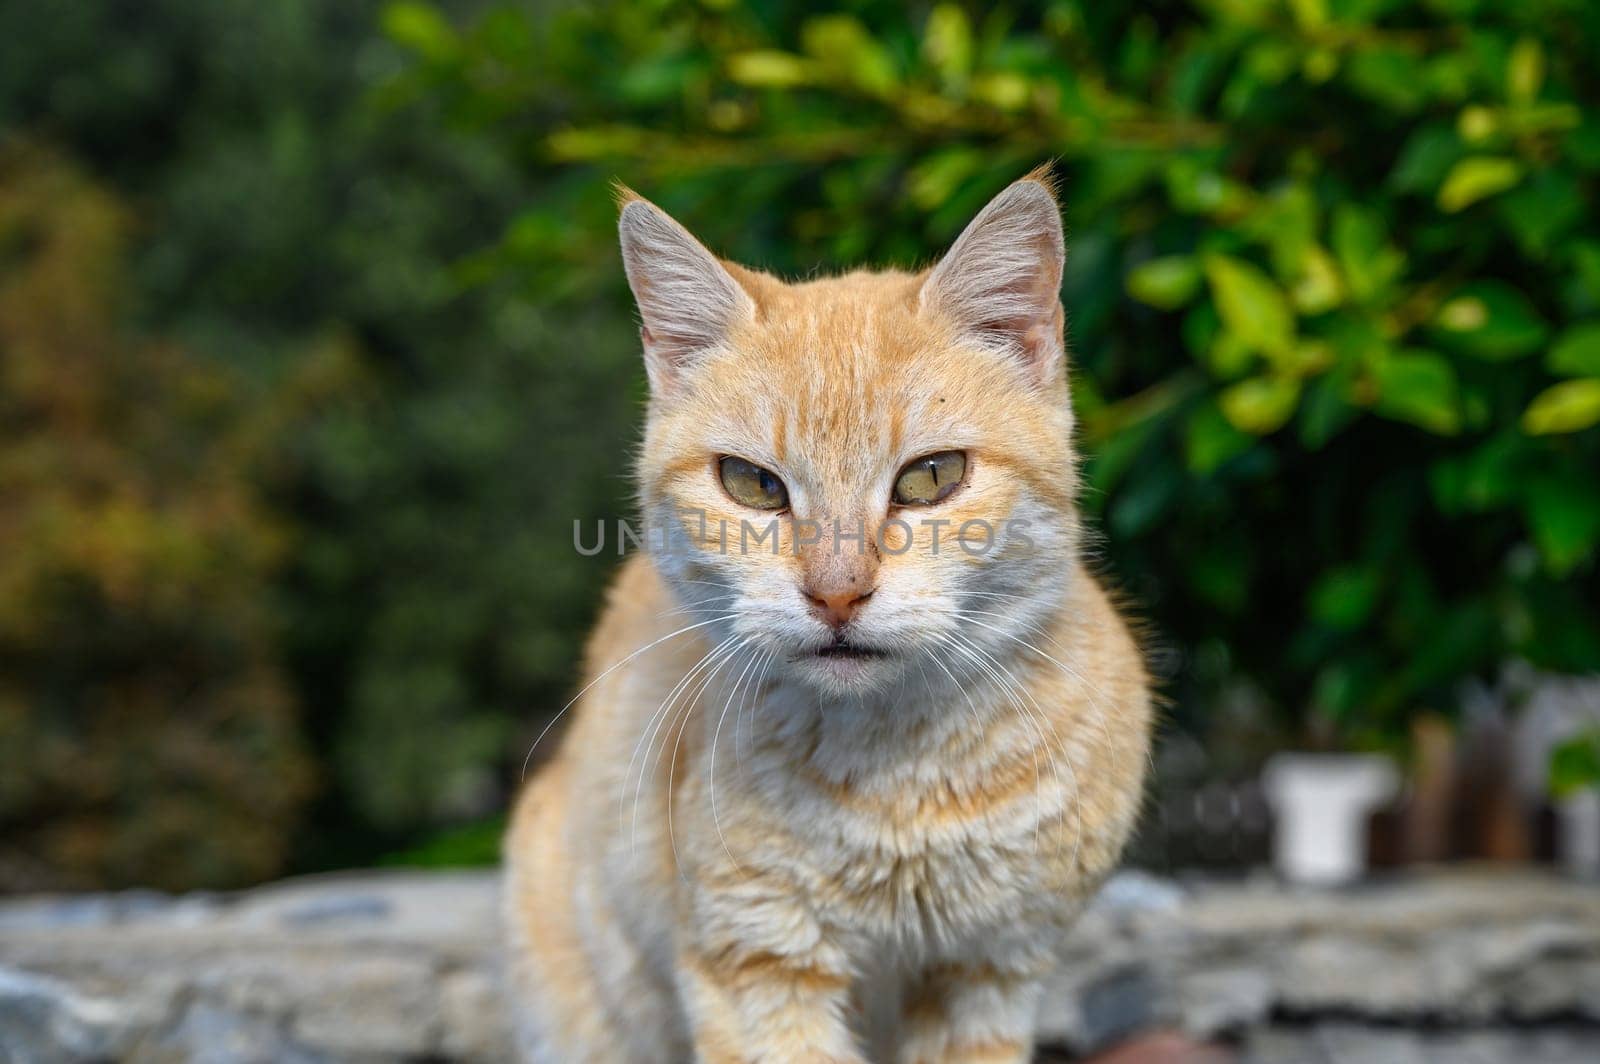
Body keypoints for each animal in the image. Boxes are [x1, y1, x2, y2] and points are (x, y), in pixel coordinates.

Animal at [505, 170, 1145, 1056]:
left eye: (930, 477)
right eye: (751, 484)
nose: (837, 592)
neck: (893, 779)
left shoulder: (991, 971)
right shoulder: (758, 964)